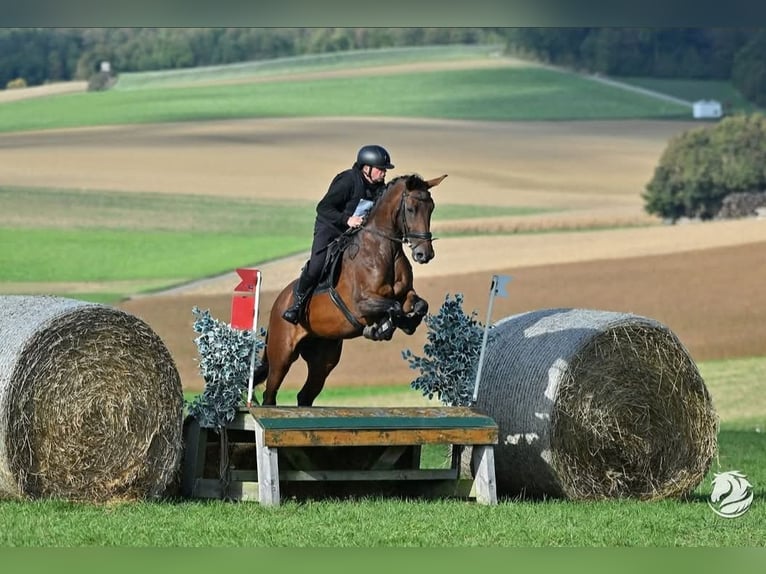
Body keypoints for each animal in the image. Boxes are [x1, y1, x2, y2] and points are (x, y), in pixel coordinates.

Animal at [252, 173, 448, 406]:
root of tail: (278, 303)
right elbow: (393, 307)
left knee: (305, 395)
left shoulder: (406, 294)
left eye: (431, 208)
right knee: (270, 393)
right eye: (410, 209)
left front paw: (406, 324)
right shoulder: (361, 303)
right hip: (282, 355)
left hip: (323, 360)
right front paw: (382, 327)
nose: (424, 254)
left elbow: (419, 305)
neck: (383, 249)